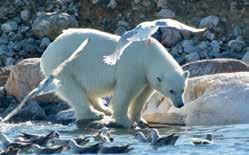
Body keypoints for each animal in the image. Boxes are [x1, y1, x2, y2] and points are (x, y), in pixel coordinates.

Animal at [40, 28, 188, 128]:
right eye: (171, 91)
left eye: (182, 90)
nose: (180, 104)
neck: (148, 54)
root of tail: (47, 51)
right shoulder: (132, 67)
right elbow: (125, 92)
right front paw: (126, 122)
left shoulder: (146, 76)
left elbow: (142, 96)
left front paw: (141, 120)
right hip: (63, 65)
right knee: (73, 91)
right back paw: (94, 114)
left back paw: (104, 109)